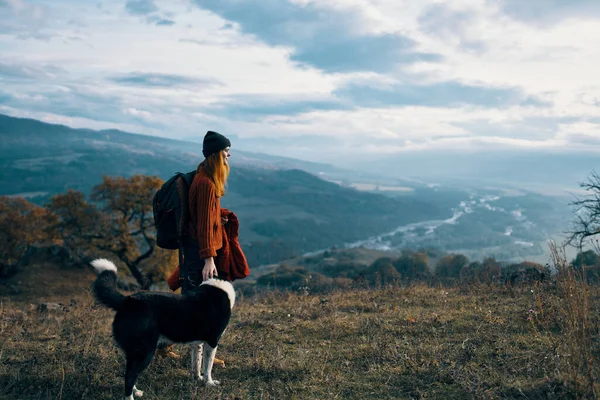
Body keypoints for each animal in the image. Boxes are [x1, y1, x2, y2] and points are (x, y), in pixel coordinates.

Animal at [90, 258, 236, 398]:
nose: (186, 276)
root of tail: (128, 301)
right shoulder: (212, 340)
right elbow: (207, 366)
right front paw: (209, 383)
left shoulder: (197, 342)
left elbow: (197, 362)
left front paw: (198, 379)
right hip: (145, 350)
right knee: (130, 377)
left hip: (135, 352)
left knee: (130, 372)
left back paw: (136, 391)